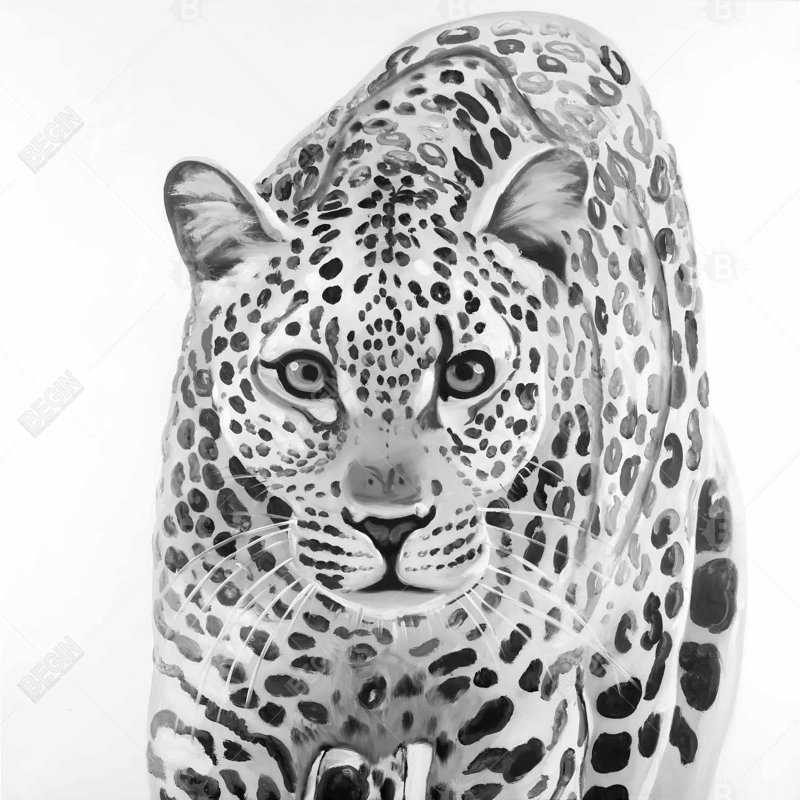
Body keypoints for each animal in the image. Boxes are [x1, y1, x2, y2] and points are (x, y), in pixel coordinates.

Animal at [148, 11, 745, 800]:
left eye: (466, 374)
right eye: (305, 374)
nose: (389, 526)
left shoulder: (521, 726)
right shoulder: (209, 716)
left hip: (642, 649)